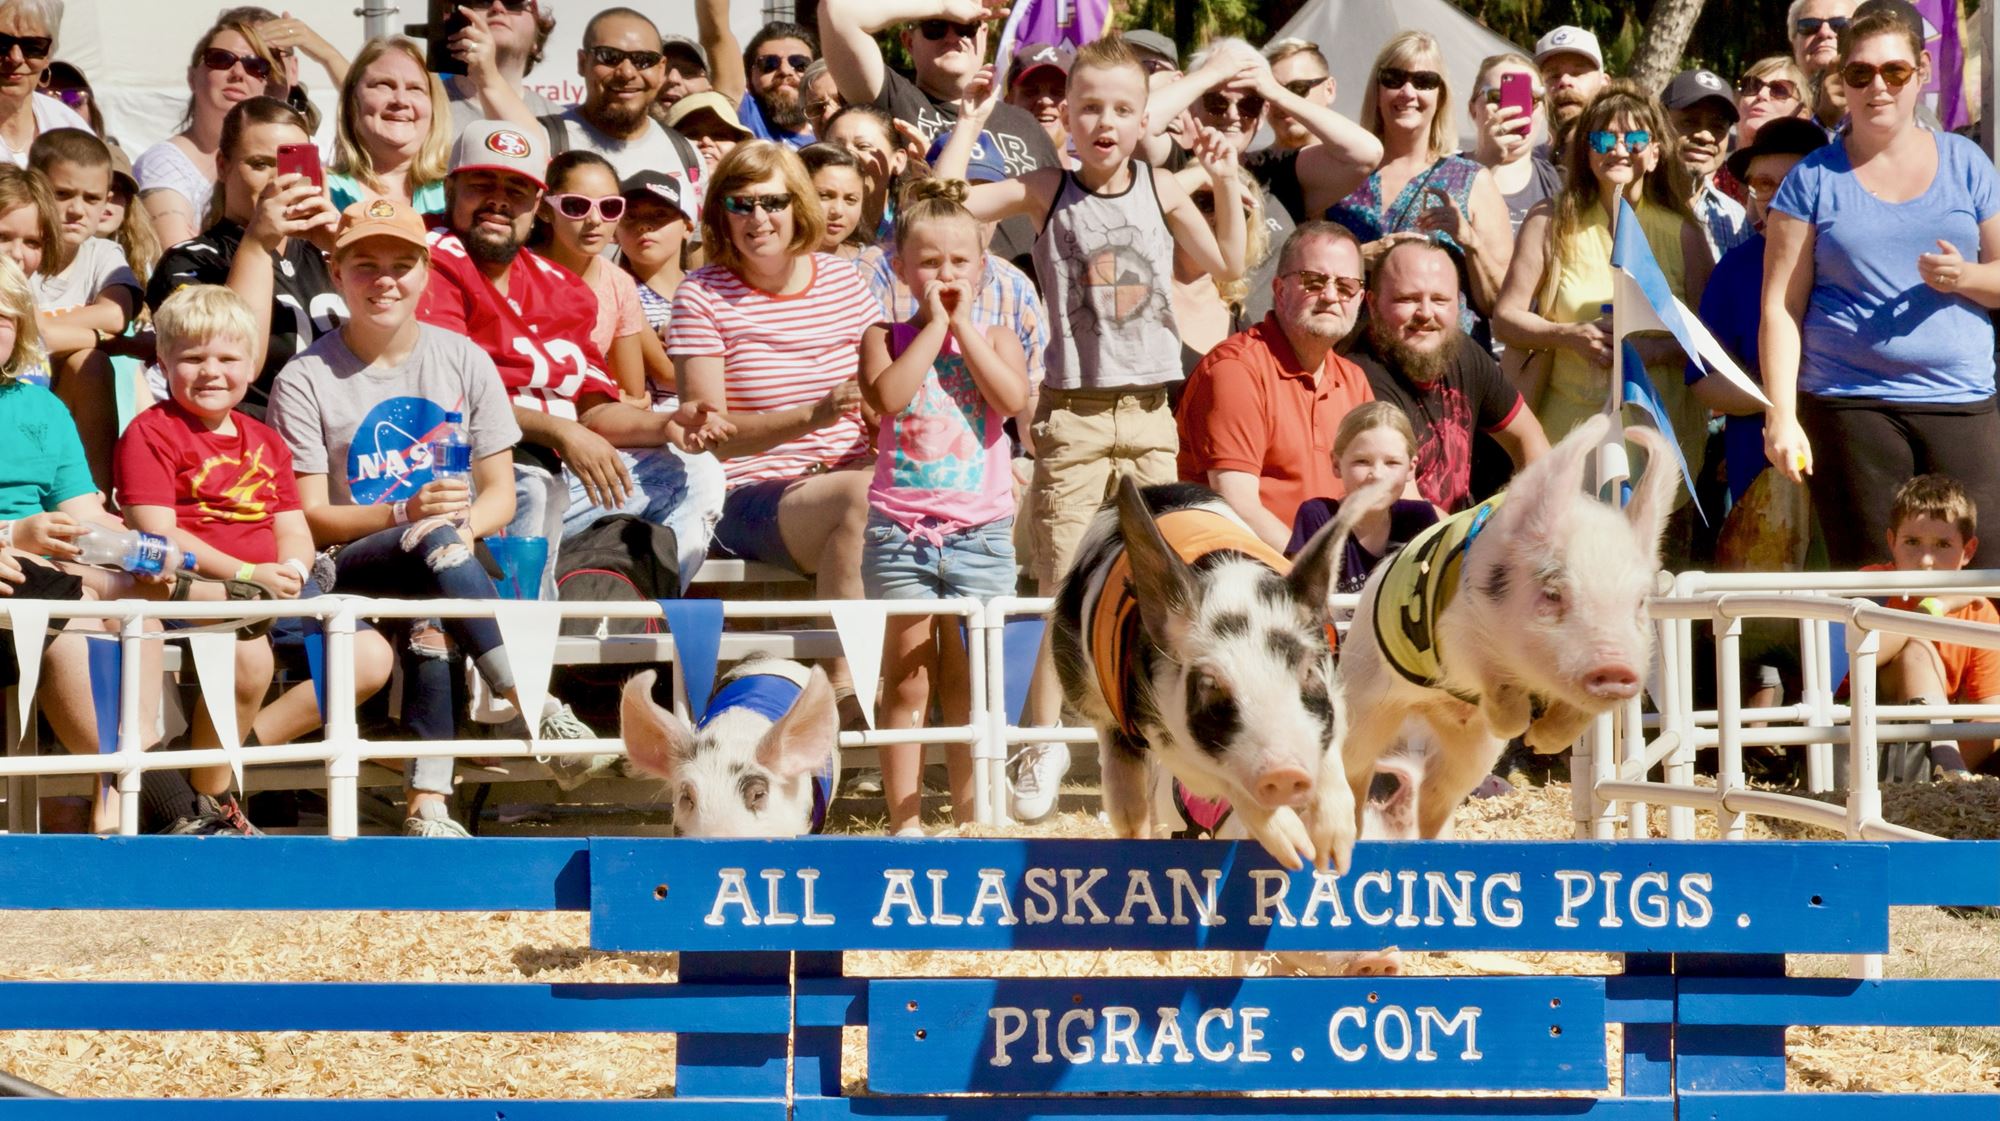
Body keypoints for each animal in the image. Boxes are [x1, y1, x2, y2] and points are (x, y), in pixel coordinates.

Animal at [1049, 478, 1350, 871]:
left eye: (1309, 670)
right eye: (1210, 684)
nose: (1285, 773)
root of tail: (1156, 487)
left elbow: (1332, 758)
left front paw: (1335, 854)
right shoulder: (1165, 733)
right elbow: (1220, 781)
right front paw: (1296, 851)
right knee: (1121, 777)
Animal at [1320, 414, 1675, 871]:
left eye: (1640, 601)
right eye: (1553, 593)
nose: (1615, 668)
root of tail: (1426, 710)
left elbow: (1577, 715)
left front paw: (1541, 739)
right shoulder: (1456, 633)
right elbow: (1495, 681)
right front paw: (1520, 726)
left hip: (1470, 751)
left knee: (1435, 793)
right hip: (1363, 705)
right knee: (1356, 772)